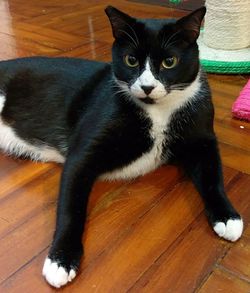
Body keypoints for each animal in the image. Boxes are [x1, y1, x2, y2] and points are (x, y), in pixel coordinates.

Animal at [0, 5, 242, 288]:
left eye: (169, 62)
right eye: (131, 60)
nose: (147, 87)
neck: (158, 111)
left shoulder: (203, 139)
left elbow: (213, 177)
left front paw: (227, 216)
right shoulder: (83, 153)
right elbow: (71, 206)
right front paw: (61, 259)